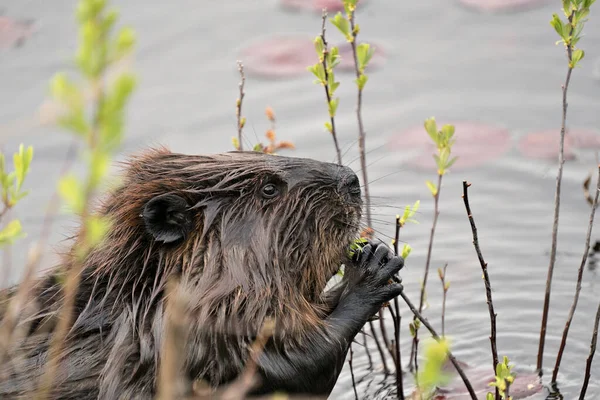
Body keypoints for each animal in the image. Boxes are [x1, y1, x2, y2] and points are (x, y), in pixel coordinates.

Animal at [0, 150, 406, 400]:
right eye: (268, 188)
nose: (351, 181)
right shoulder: (201, 335)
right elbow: (295, 362)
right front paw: (369, 274)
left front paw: (376, 252)